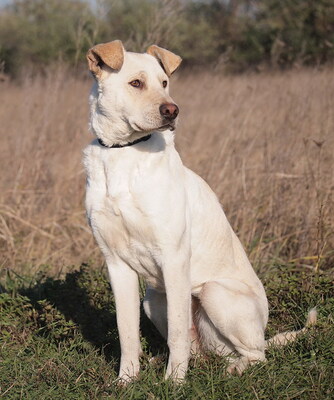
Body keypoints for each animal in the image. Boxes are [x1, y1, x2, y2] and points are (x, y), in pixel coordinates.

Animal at [83, 41, 316, 384]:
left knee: (256, 355)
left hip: (214, 294)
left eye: (164, 83)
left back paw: (235, 367)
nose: (172, 111)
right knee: (201, 349)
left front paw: (174, 383)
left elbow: (178, 333)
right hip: (153, 299)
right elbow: (127, 332)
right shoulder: (116, 263)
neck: (123, 154)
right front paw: (126, 380)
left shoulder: (174, 257)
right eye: (135, 83)